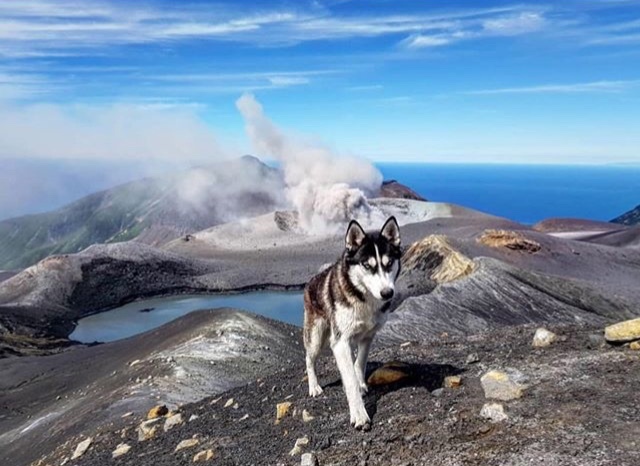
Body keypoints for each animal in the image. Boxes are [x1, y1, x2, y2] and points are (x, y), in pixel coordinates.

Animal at [304, 217, 400, 432]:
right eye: (366, 265)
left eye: (389, 263)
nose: (387, 293)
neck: (364, 298)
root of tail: (311, 282)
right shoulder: (340, 343)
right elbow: (350, 382)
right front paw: (360, 416)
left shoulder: (368, 336)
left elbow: (360, 363)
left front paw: (361, 383)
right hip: (317, 338)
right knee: (309, 359)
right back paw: (314, 387)